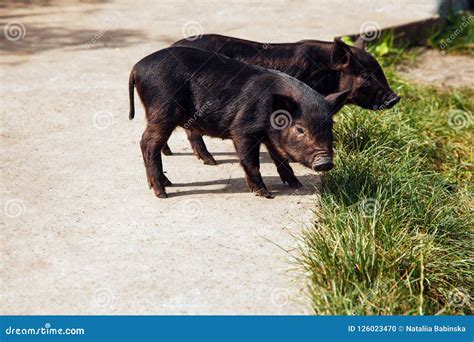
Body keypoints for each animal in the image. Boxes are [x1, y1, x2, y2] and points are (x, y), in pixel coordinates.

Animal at [128, 46, 350, 199]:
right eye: (300, 129)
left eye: (330, 126)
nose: (325, 162)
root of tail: (136, 67)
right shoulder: (243, 129)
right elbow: (251, 162)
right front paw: (266, 194)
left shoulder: (270, 137)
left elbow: (280, 158)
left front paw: (296, 185)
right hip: (162, 111)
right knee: (147, 143)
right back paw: (163, 193)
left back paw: (167, 183)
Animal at [162, 33, 400, 164]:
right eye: (365, 76)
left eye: (379, 70)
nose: (395, 98)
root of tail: (170, 46)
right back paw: (210, 162)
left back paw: (170, 153)